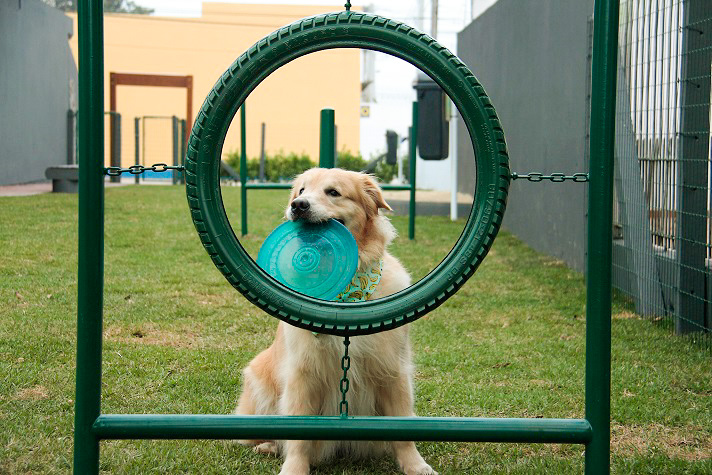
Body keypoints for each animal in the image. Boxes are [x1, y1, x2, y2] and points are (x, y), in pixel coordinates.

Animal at [235, 169, 434, 475]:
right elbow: (297, 433)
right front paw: (294, 468)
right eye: (302, 190)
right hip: (258, 381)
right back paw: (268, 445)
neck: (345, 295)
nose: (298, 206)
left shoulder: (392, 370)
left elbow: (402, 425)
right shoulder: (302, 373)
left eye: (333, 192)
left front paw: (416, 465)